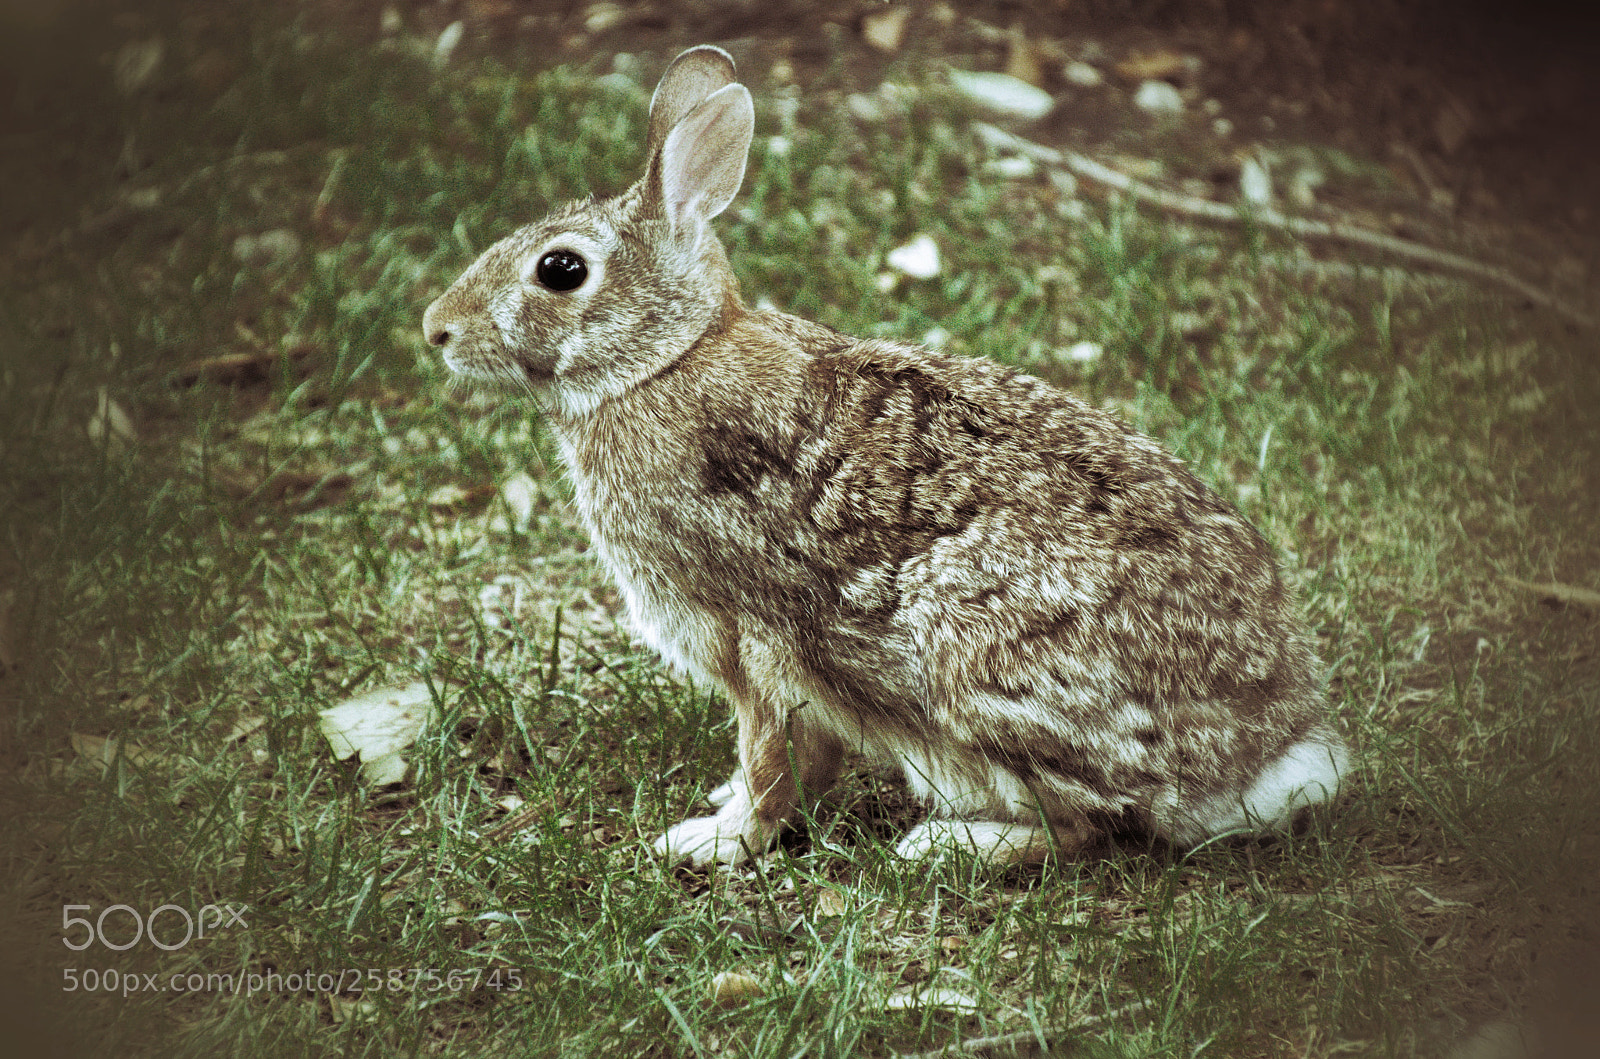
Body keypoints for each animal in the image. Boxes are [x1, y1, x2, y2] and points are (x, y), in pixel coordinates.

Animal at [422, 45, 1348, 868]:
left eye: (561, 269)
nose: (436, 329)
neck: (663, 359)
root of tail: (1259, 758)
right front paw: (725, 810)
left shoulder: (754, 640)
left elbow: (773, 755)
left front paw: (717, 841)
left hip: (971, 666)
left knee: (1090, 823)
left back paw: (945, 844)